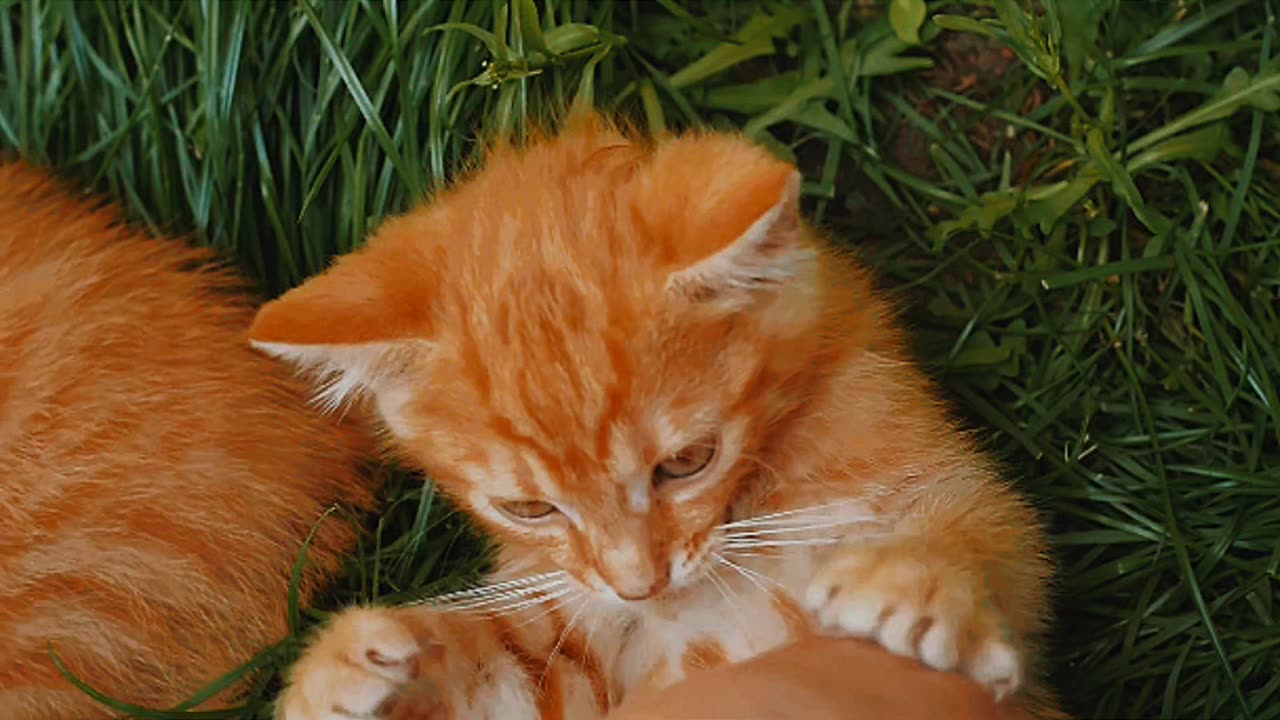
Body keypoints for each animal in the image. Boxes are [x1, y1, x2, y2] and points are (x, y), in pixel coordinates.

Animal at [252, 114, 1059, 712]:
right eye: (528, 508)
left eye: (685, 463)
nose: (641, 585)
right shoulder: (585, 650)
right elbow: (509, 669)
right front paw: (340, 671)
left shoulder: (927, 474)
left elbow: (994, 538)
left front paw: (920, 581)